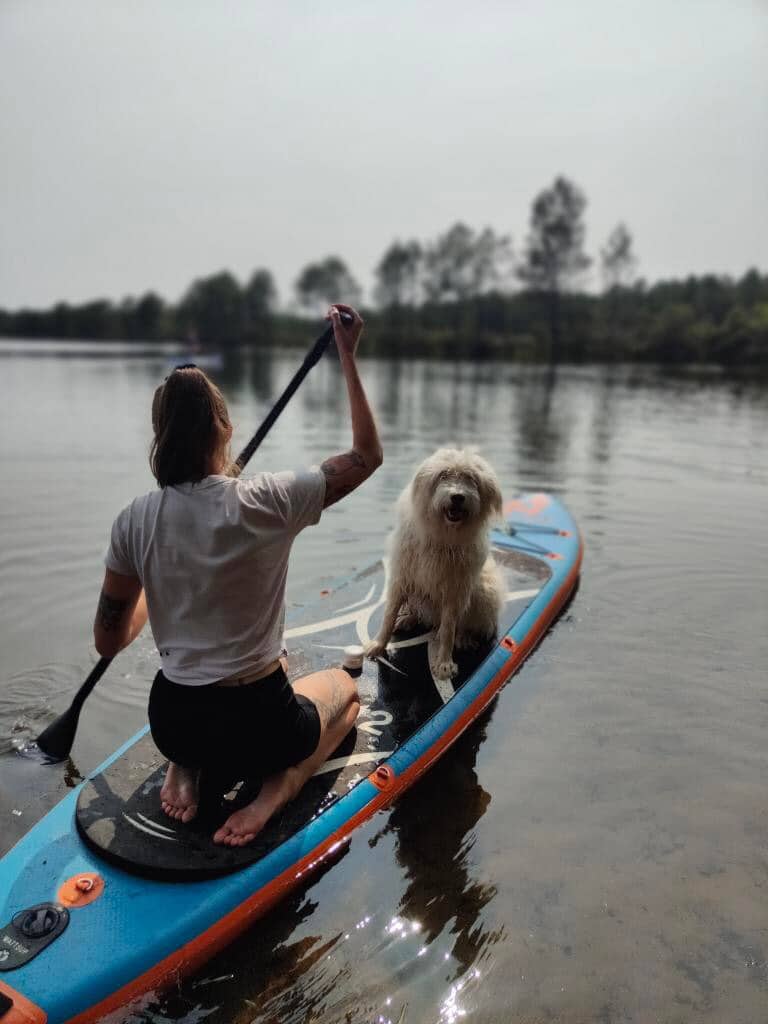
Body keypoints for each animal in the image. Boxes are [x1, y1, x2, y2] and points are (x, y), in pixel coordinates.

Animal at [364, 446, 505, 679]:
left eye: (471, 479)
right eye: (443, 475)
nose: (457, 497)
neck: (442, 536)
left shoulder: (455, 590)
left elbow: (448, 628)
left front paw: (444, 663)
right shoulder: (402, 575)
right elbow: (389, 614)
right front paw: (378, 644)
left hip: (484, 590)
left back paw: (463, 637)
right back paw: (408, 618)